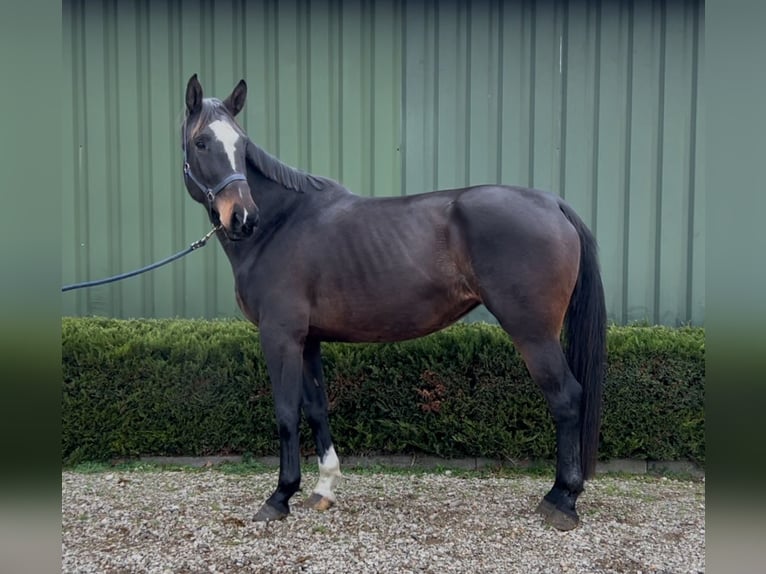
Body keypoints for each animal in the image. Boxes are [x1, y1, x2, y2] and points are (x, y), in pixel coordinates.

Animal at [182, 74, 608, 532]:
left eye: (241, 144)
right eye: (202, 142)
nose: (243, 217)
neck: (282, 223)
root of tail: (551, 202)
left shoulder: (280, 337)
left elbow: (285, 412)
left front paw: (280, 496)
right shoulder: (308, 339)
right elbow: (316, 408)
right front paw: (323, 488)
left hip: (534, 333)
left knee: (566, 398)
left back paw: (561, 499)